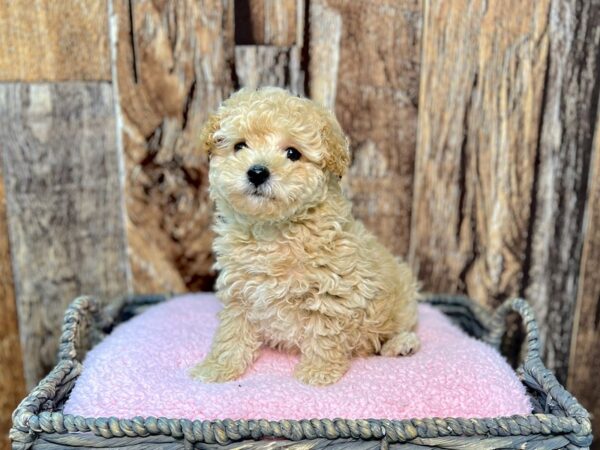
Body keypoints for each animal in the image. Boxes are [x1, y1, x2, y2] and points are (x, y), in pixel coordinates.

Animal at [190, 88, 420, 386]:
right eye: (240, 146)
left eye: (292, 153)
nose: (257, 172)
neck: (273, 231)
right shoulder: (238, 292)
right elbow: (232, 332)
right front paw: (218, 367)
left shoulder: (332, 290)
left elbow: (324, 333)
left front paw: (318, 372)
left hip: (401, 299)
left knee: (401, 326)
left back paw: (401, 344)